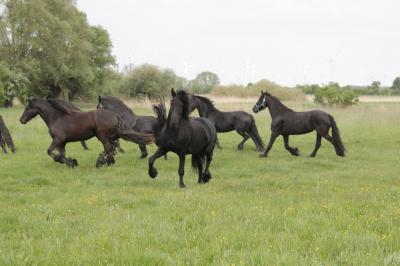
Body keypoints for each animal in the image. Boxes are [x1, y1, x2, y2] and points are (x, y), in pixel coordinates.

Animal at [18, 97, 154, 168]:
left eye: (27, 108)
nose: (21, 120)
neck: (56, 117)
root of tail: (115, 115)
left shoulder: (58, 139)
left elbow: (50, 151)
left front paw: (64, 161)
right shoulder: (62, 142)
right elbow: (62, 154)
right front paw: (71, 162)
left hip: (102, 136)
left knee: (109, 148)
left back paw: (100, 162)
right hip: (108, 136)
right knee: (112, 148)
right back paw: (109, 161)